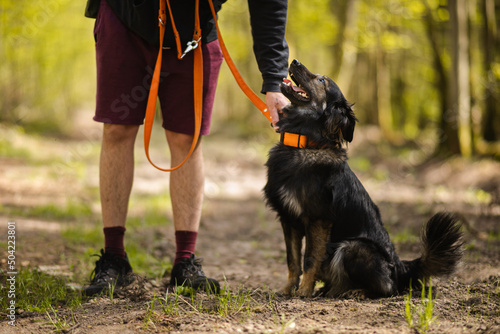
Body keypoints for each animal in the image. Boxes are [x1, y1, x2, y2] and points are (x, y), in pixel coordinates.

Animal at [264, 59, 462, 298]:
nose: (294, 61)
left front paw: (303, 292)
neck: (304, 143)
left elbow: (310, 259)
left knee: (387, 288)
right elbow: (292, 260)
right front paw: (287, 289)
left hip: (352, 247)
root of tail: (400, 266)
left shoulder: (317, 219)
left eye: (321, 80)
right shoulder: (288, 217)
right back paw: (329, 290)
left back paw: (356, 292)